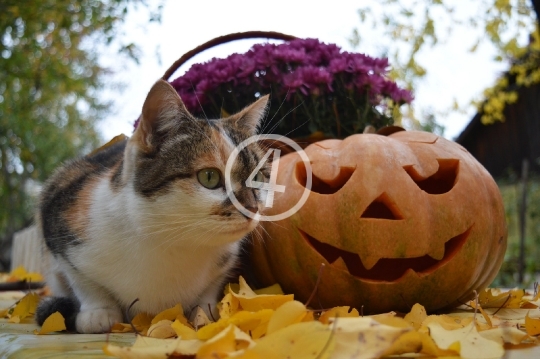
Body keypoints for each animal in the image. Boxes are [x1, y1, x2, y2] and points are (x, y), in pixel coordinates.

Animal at [34, 79, 268, 334]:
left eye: (259, 177)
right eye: (209, 177)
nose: (252, 208)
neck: (173, 239)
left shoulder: (225, 260)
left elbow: (210, 287)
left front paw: (204, 312)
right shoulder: (59, 210)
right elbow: (82, 280)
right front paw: (98, 312)